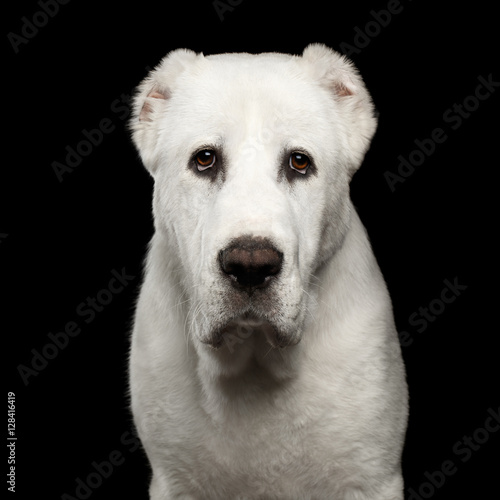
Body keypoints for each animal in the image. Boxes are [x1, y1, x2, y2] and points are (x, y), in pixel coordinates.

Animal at [128, 44, 406, 500]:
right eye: (204, 159)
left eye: (299, 162)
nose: (251, 266)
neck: (253, 362)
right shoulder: (174, 481)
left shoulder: (369, 478)